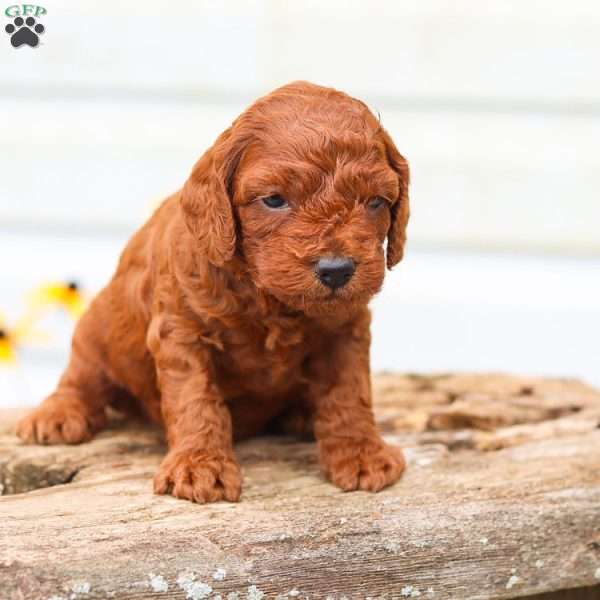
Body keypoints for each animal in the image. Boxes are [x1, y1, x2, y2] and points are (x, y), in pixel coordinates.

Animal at [16, 79, 410, 502]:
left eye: (375, 201)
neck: (268, 298)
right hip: (97, 329)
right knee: (82, 374)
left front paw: (362, 454)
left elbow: (348, 391)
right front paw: (200, 466)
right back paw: (56, 414)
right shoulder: (181, 330)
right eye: (274, 200)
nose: (337, 271)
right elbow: (196, 399)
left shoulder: (346, 329)